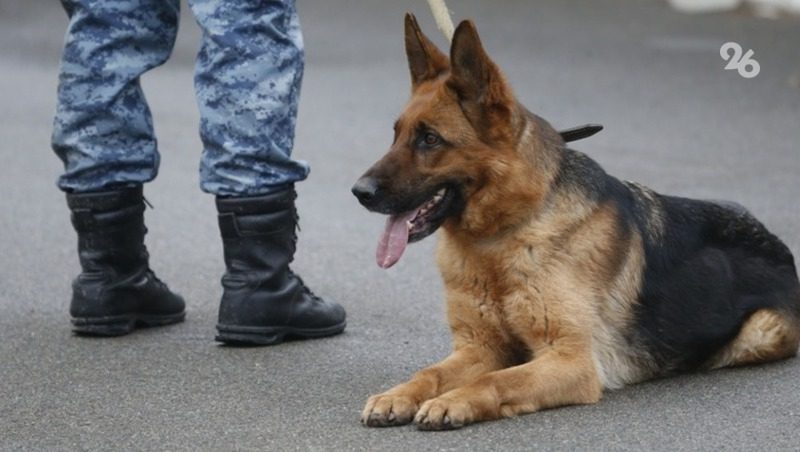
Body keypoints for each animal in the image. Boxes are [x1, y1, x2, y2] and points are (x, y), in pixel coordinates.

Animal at [350, 14, 800, 430]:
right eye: (396, 134)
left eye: (430, 139)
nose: (359, 191)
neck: (503, 238)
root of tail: (777, 243)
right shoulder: (479, 348)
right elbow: (430, 372)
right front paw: (399, 394)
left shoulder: (571, 361)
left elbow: (496, 381)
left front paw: (454, 401)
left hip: (759, 333)